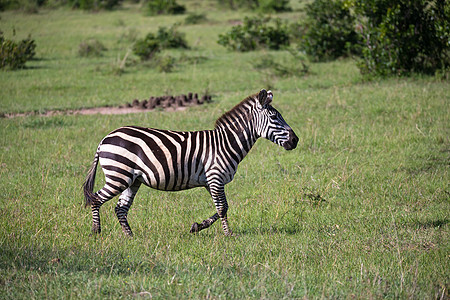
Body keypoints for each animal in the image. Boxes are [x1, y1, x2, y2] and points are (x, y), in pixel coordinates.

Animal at [82, 89, 298, 237]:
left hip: (132, 180)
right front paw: (228, 234)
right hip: (118, 175)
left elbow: (221, 208)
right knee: (96, 198)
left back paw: (130, 236)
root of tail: (105, 139)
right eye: (274, 117)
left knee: (120, 208)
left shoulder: (211, 182)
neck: (226, 143)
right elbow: (223, 208)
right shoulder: (215, 177)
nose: (295, 140)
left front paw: (198, 226)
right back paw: (96, 231)